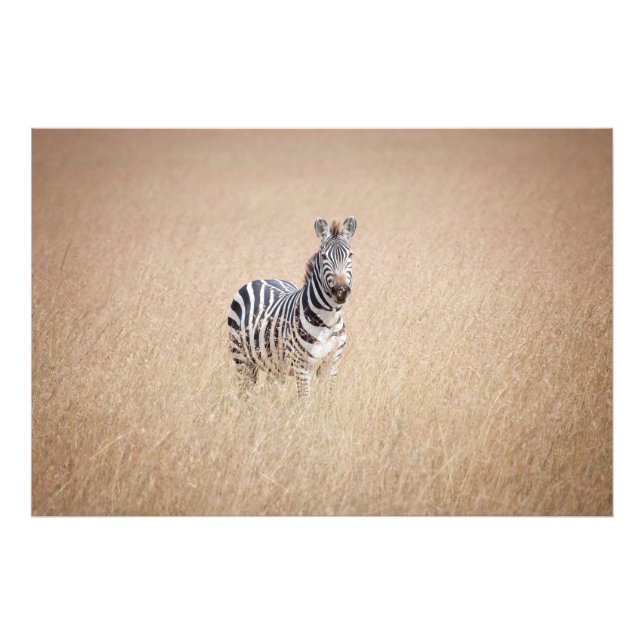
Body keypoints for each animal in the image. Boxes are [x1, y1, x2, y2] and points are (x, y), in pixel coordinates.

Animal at [227, 217, 357, 397]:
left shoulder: (331, 365)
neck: (327, 321)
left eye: (350, 255)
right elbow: (305, 401)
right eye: (324, 256)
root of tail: (261, 279)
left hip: (274, 365)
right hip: (241, 359)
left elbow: (327, 400)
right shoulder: (301, 366)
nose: (341, 290)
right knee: (245, 392)